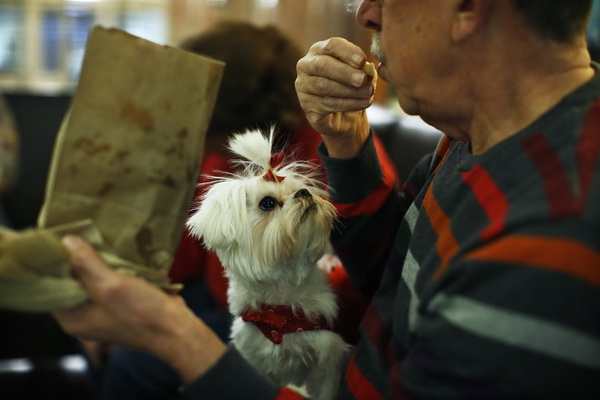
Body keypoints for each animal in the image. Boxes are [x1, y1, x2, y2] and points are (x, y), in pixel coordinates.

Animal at [188, 128, 352, 400]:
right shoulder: (256, 355)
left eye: (300, 188)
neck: (281, 315)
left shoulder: (328, 356)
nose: (304, 193)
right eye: (267, 203)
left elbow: (324, 388)